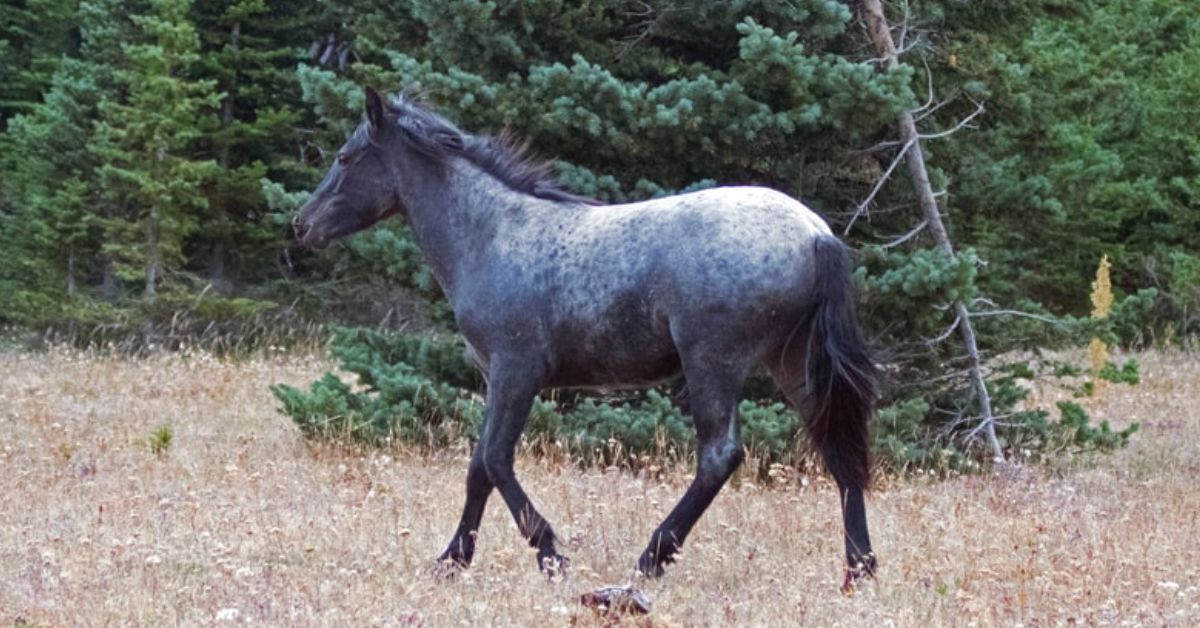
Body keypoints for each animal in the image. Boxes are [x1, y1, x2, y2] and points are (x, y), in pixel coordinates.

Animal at [295, 88, 878, 590]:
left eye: (346, 157)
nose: (302, 225)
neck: (492, 234)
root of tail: (815, 233)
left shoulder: (515, 370)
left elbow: (494, 460)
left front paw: (549, 555)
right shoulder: (497, 377)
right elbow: (478, 468)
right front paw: (452, 560)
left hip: (714, 362)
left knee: (720, 456)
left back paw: (649, 560)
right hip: (793, 362)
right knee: (840, 454)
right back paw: (859, 572)